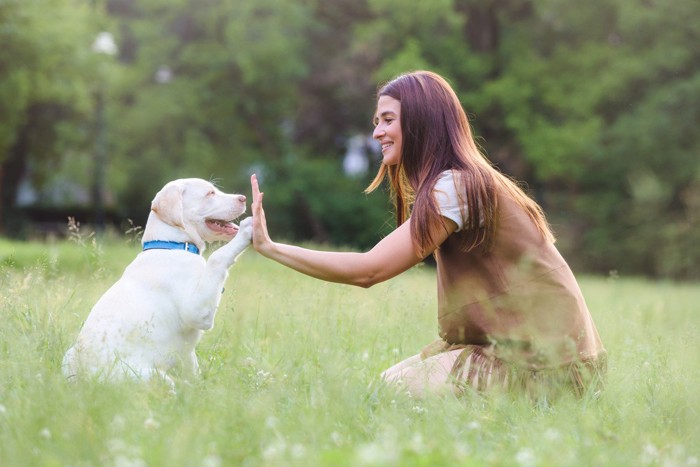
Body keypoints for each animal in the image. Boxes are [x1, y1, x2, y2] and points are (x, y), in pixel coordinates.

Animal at [60, 177, 252, 390]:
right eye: (210, 193)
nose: (243, 198)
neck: (172, 245)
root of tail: (86, 382)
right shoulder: (197, 310)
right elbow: (217, 257)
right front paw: (247, 230)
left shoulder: (187, 352)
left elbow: (192, 368)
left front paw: (199, 389)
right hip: (152, 377)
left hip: (67, 357)